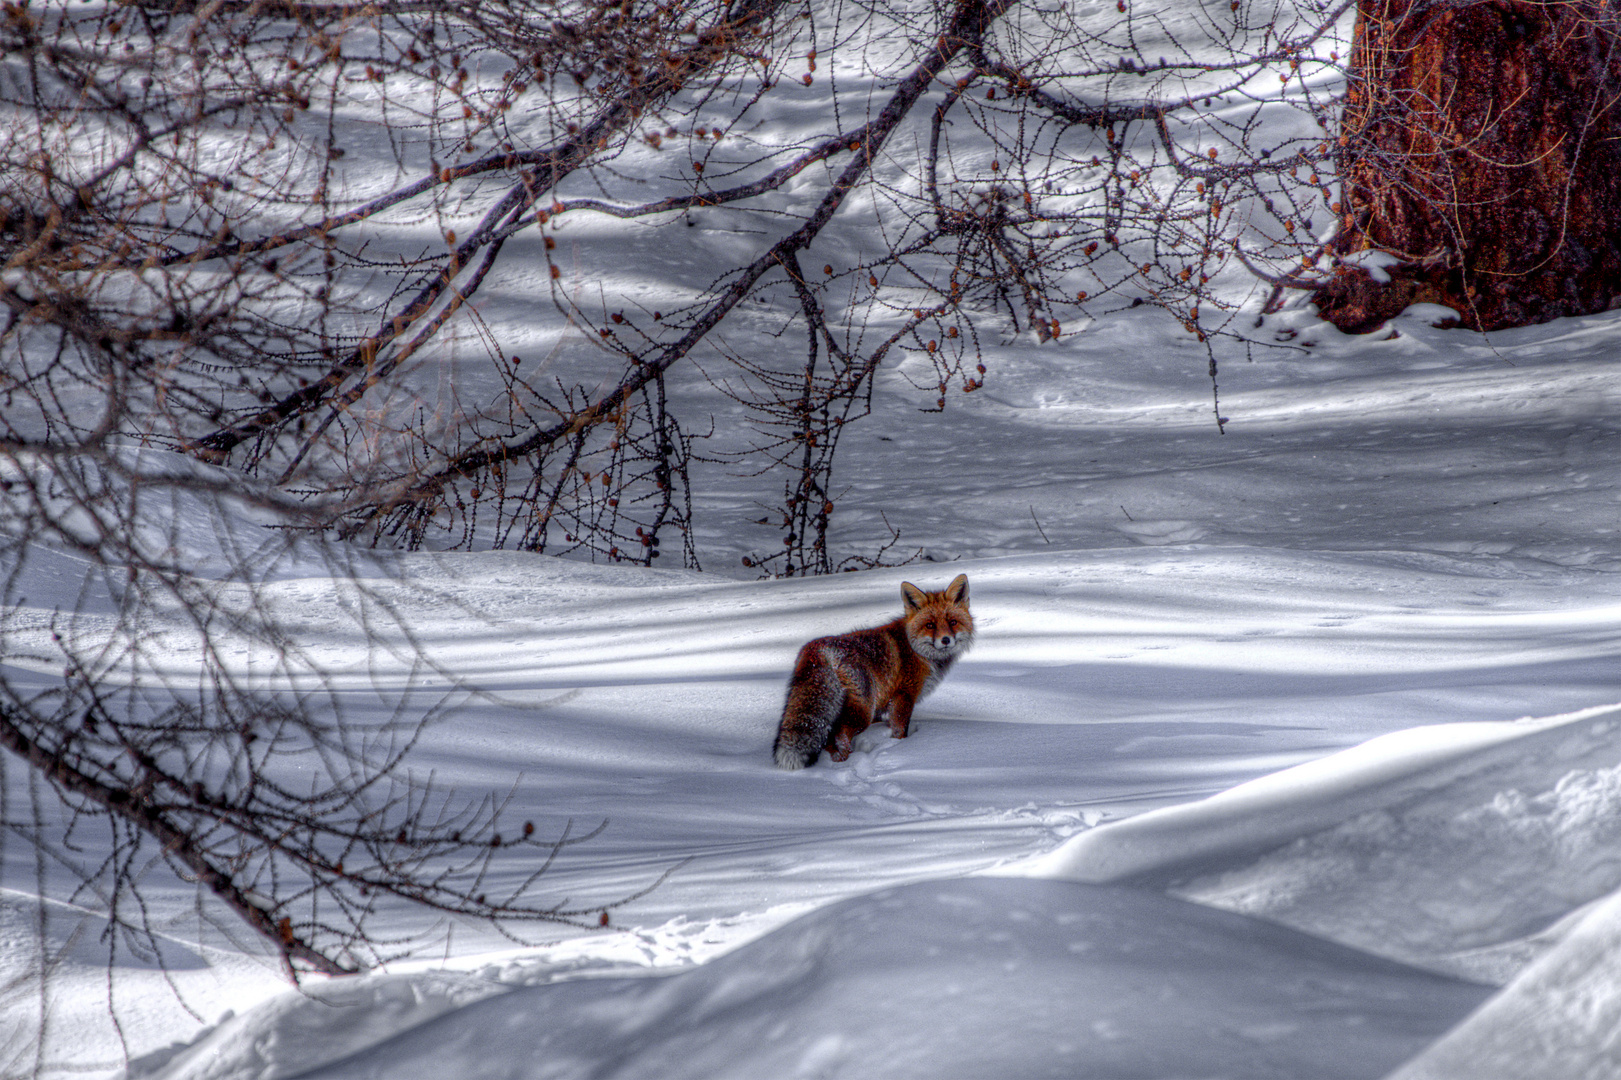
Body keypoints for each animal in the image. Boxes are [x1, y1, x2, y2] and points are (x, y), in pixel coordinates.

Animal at [774, 570, 972, 765]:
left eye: (953, 622)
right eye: (930, 625)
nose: (946, 640)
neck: (916, 649)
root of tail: (816, 647)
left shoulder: (885, 701)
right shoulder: (904, 695)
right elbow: (900, 730)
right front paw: (901, 748)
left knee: (829, 736)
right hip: (863, 710)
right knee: (840, 734)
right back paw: (846, 759)